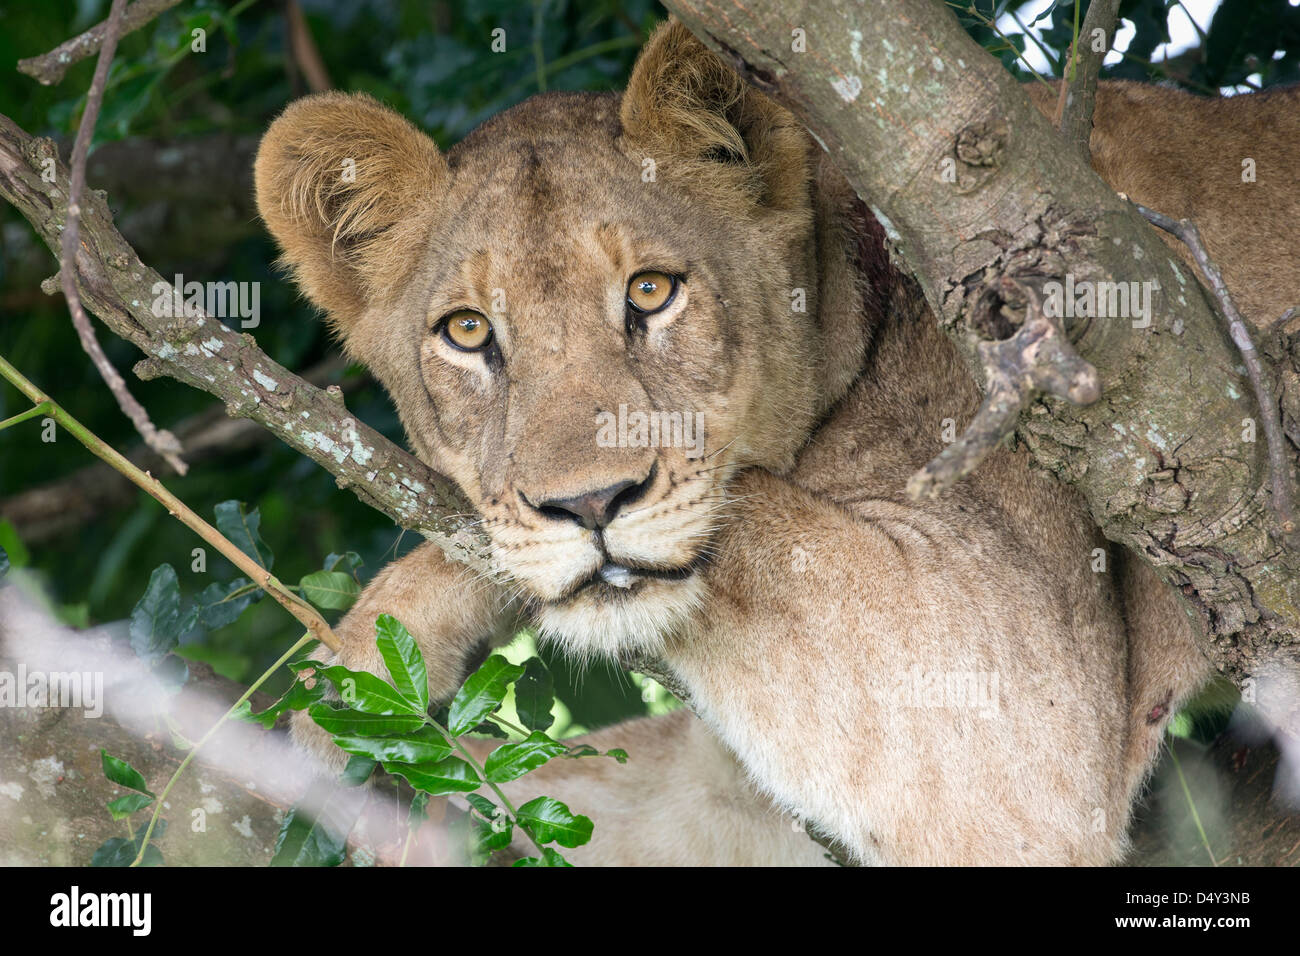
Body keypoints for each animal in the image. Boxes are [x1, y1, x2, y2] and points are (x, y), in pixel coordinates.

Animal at [248, 22, 1294, 863]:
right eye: (467, 332)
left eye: (652, 291)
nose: (590, 505)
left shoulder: (1019, 711)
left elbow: (748, 507)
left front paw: (362, 650)